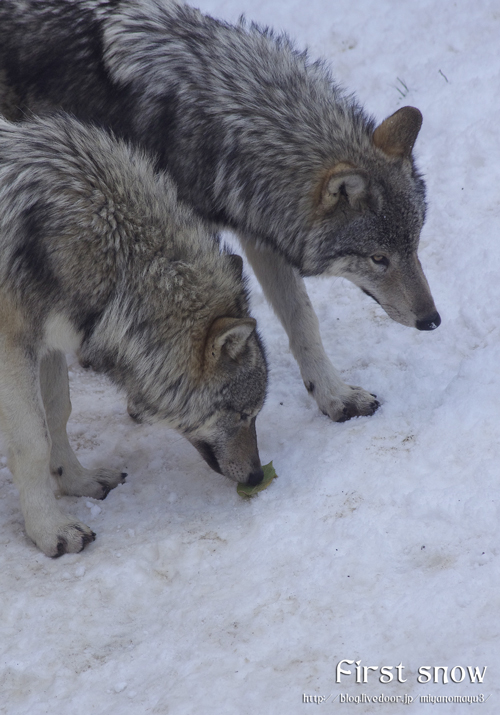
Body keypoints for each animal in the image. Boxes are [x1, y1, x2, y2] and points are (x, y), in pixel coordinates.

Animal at [0, 0, 440, 422]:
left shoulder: (257, 227)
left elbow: (303, 319)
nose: (432, 320)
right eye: (379, 259)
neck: (232, 109)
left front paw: (335, 396)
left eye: (415, 246)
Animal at [0, 113, 268, 560]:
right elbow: (34, 441)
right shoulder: (13, 350)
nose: (255, 475)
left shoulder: (51, 340)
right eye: (241, 415)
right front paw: (51, 529)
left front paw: (77, 481)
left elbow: (58, 412)